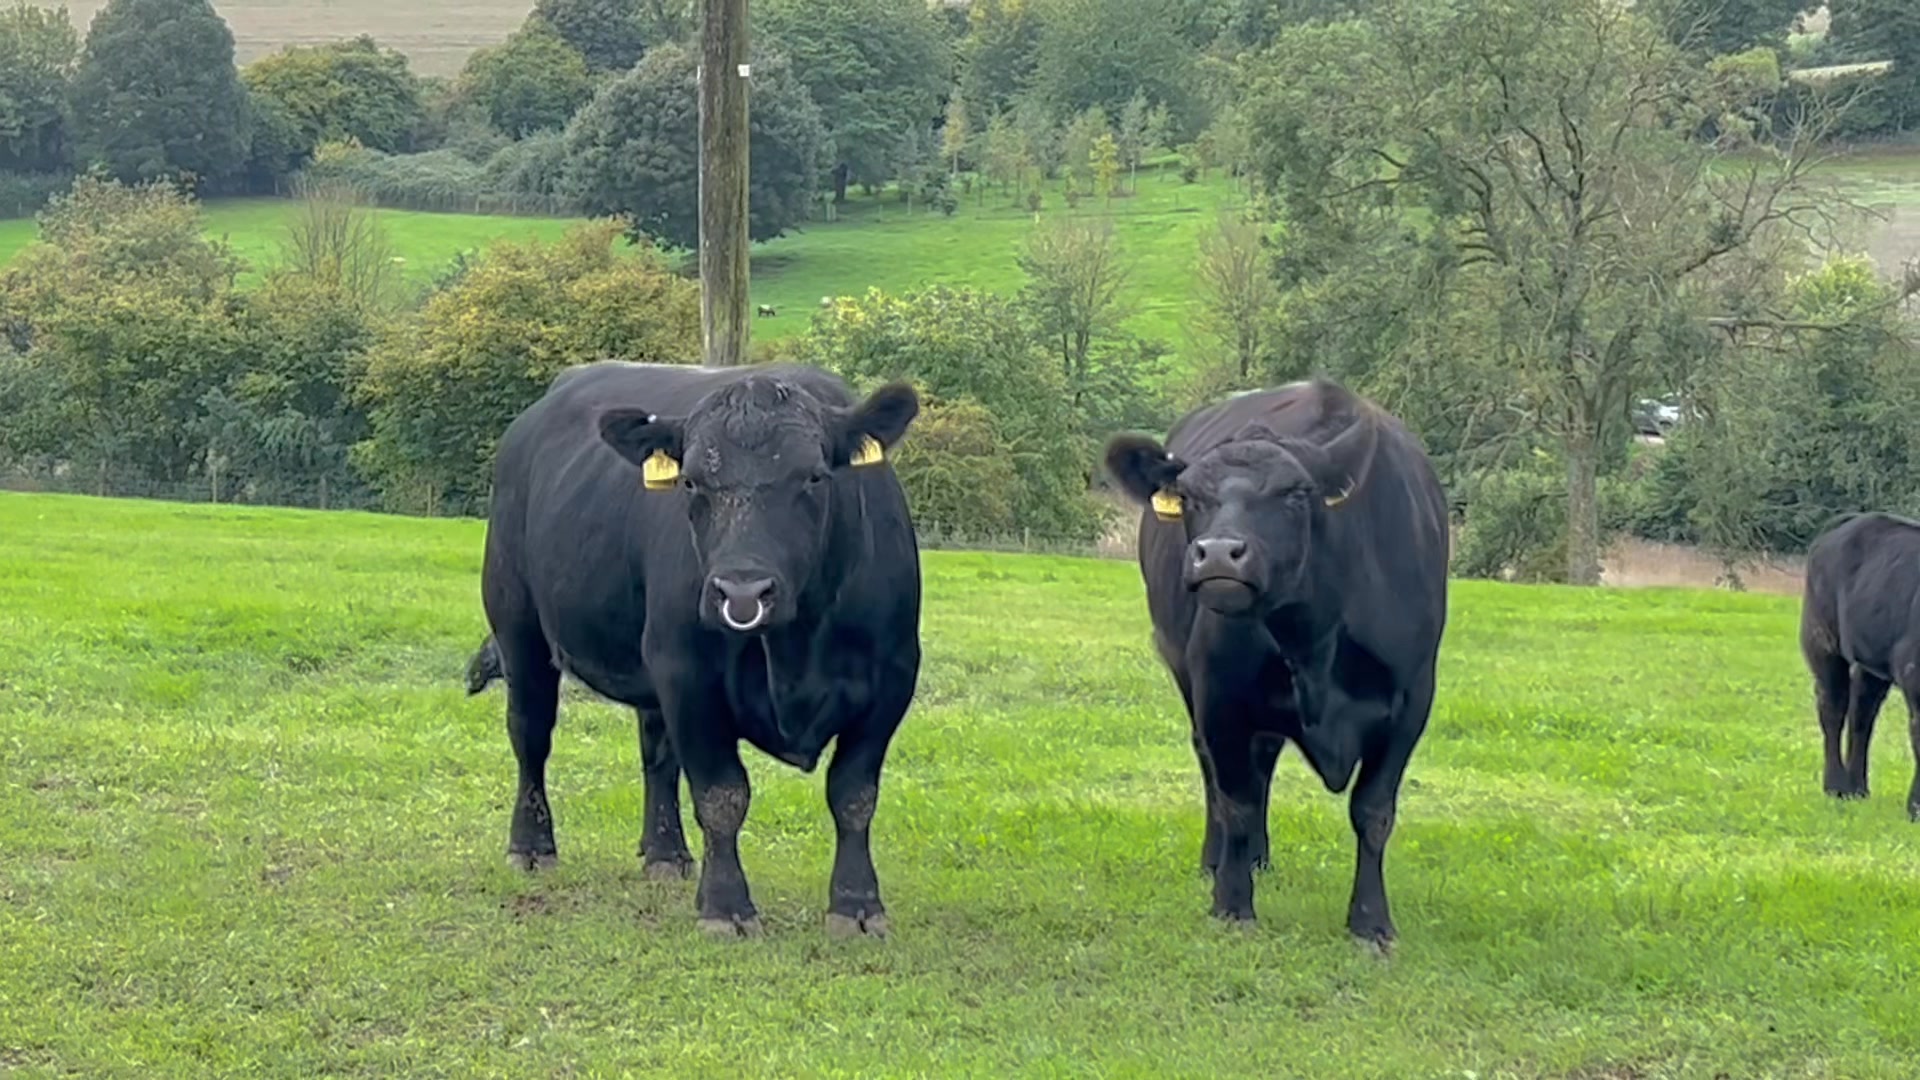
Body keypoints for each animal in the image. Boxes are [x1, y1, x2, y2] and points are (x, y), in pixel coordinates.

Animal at [471, 360, 923, 938]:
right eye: (690, 480)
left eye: (814, 476)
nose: (742, 593)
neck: (796, 647)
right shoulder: (689, 677)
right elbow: (722, 795)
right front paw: (726, 907)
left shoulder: (891, 681)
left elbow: (853, 796)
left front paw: (857, 905)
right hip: (521, 631)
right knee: (531, 737)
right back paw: (532, 846)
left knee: (657, 755)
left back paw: (666, 853)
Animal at [1101, 379, 1448, 947]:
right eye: (1191, 496)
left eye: (1295, 493)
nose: (1219, 553)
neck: (1315, 637)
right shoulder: (1220, 694)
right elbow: (1236, 802)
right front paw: (1231, 904)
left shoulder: (1411, 701)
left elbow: (1373, 811)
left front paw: (1371, 922)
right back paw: (1222, 860)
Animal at [1799, 511, 1920, 821]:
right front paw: (1916, 807)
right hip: (1823, 643)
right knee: (1833, 711)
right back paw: (1836, 786)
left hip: (1870, 666)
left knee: (1861, 717)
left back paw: (1857, 788)